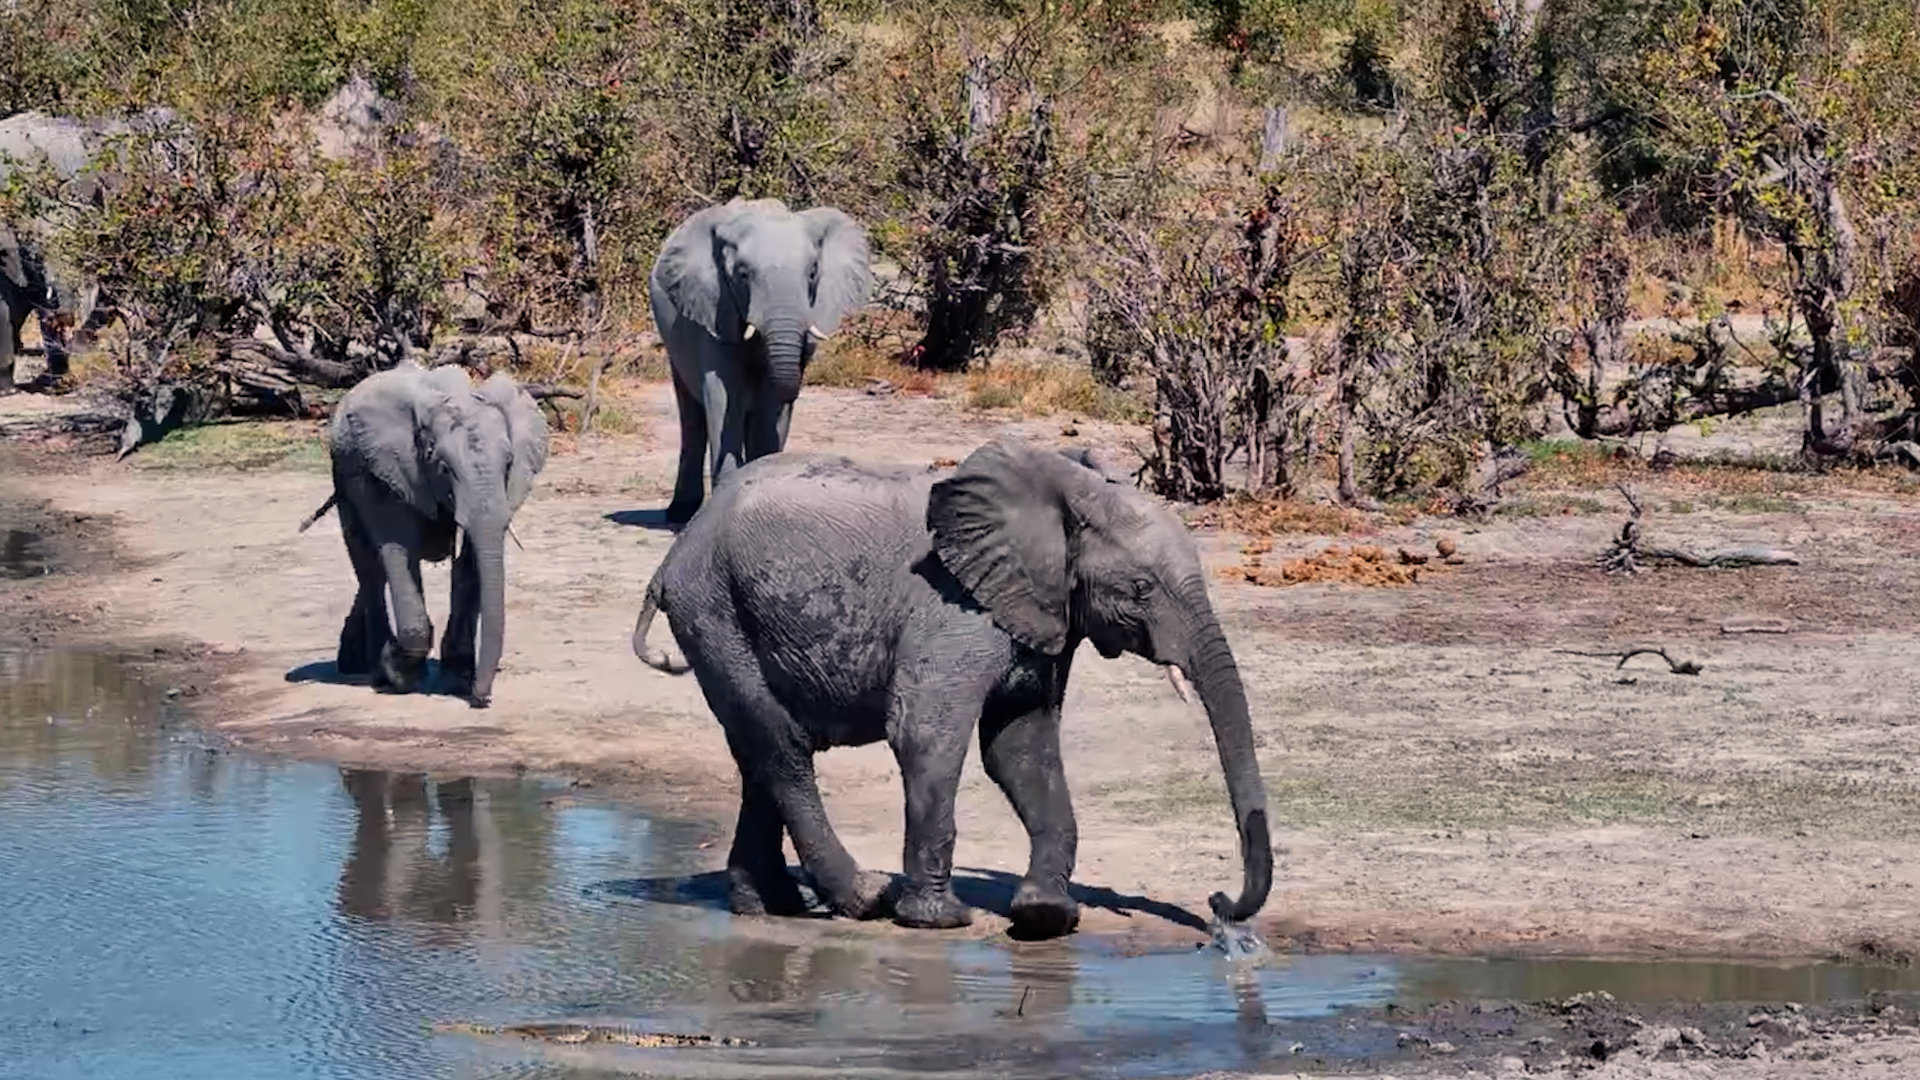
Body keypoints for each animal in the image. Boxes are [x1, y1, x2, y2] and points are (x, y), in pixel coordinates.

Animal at [299, 362, 550, 708]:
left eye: (509, 462)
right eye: (443, 468)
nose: (482, 699)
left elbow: (470, 564)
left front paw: (458, 680)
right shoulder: (392, 469)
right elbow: (397, 550)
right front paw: (399, 673)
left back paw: (354, 662)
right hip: (344, 473)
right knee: (369, 567)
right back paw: (374, 672)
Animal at [629, 436, 1273, 939]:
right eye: (1142, 589)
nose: (1219, 904)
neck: (1059, 494)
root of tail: (674, 552)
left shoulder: (1042, 615)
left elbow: (1023, 747)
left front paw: (1046, 916)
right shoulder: (954, 608)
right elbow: (926, 734)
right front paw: (938, 920)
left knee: (755, 751)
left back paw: (769, 905)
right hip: (715, 609)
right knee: (781, 746)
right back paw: (864, 898)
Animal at [648, 196, 872, 524]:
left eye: (813, 273)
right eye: (743, 274)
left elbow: (767, 405)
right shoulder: (714, 309)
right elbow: (723, 392)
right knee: (691, 416)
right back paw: (680, 513)